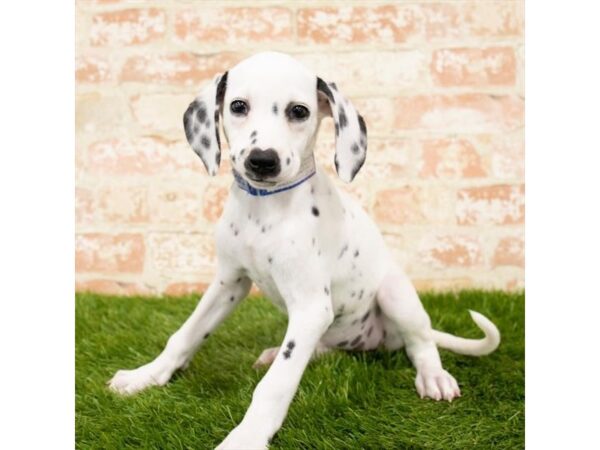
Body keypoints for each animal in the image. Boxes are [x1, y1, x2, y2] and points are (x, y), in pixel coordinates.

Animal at [109, 51, 502, 448]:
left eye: (299, 111)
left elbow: (275, 386)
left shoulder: (311, 306)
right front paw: (146, 375)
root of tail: (376, 341)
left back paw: (433, 376)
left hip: (393, 295)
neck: (264, 210)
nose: (262, 160)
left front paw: (247, 436)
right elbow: (185, 334)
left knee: (420, 342)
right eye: (238, 106)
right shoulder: (229, 283)